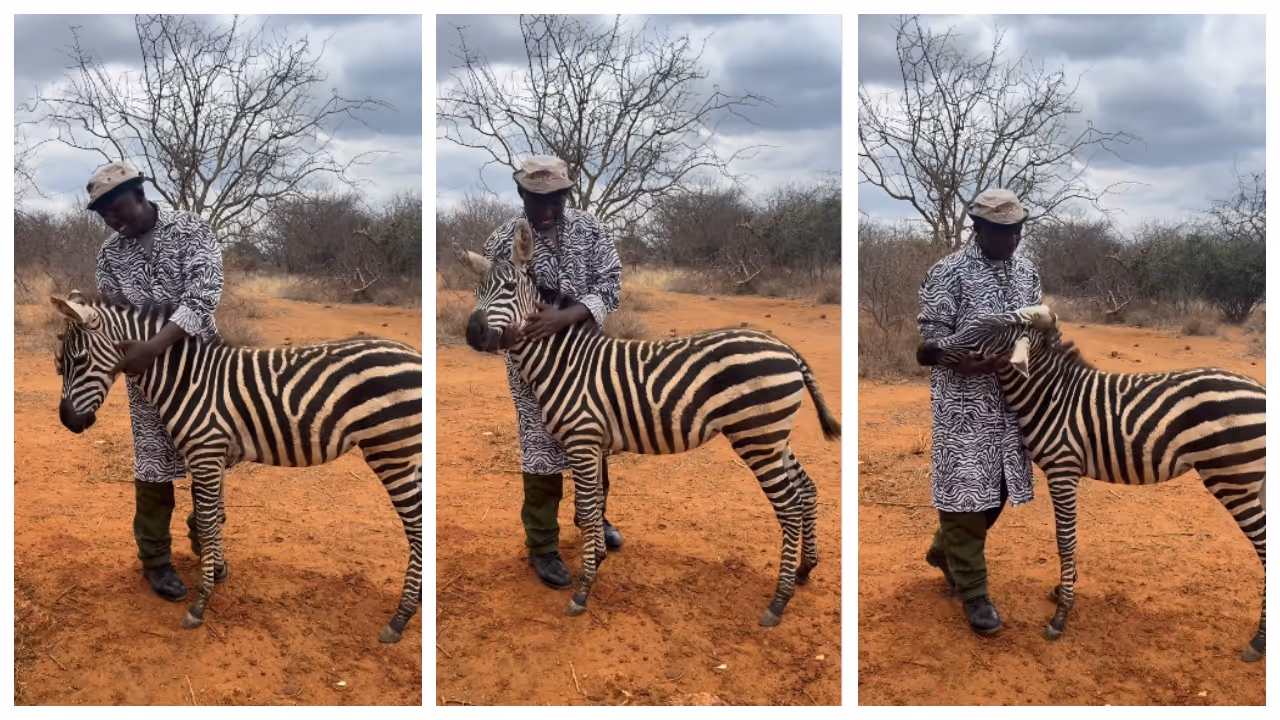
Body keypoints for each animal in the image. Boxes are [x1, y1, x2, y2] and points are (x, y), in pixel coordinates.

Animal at [50, 290, 423, 644]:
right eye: (59, 363)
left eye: (80, 360)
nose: (68, 422)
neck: (186, 380)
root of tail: (414, 355)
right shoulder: (215, 456)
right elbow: (214, 518)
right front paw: (216, 572)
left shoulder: (205, 453)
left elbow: (205, 522)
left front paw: (201, 602)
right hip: (407, 455)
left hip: (392, 451)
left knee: (416, 527)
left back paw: (400, 618)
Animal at [451, 219, 841, 627]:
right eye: (476, 291)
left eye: (509, 289)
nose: (474, 334)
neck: (563, 361)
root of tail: (786, 349)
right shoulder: (592, 443)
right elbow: (594, 503)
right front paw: (598, 558)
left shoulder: (582, 440)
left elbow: (588, 509)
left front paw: (583, 590)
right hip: (773, 437)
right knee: (807, 489)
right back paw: (804, 570)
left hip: (757, 438)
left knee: (789, 506)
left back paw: (779, 601)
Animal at [919, 303, 1266, 662]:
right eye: (967, 324)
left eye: (985, 335)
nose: (923, 350)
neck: (1050, 395)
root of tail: (1258, 387)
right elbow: (1069, 539)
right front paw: (1064, 589)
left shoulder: (1062, 470)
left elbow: (1065, 540)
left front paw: (1061, 615)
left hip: (1232, 479)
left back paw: (1258, 642)